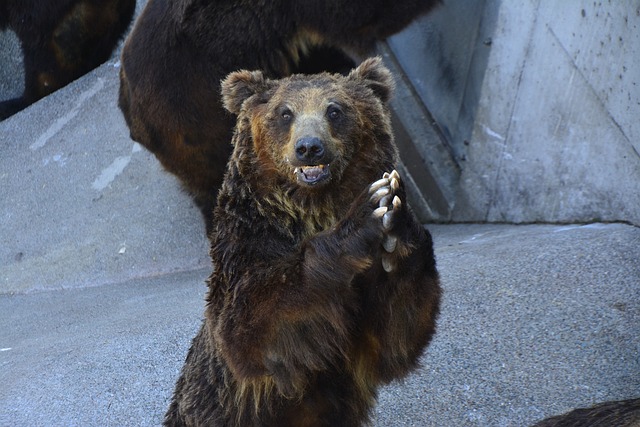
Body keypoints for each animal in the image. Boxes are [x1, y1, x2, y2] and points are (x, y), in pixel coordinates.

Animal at [166, 56, 440, 427]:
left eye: (335, 110)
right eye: (285, 113)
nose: (309, 147)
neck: (311, 207)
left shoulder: (362, 325)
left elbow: (395, 334)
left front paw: (397, 215)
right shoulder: (246, 245)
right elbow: (252, 323)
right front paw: (368, 211)